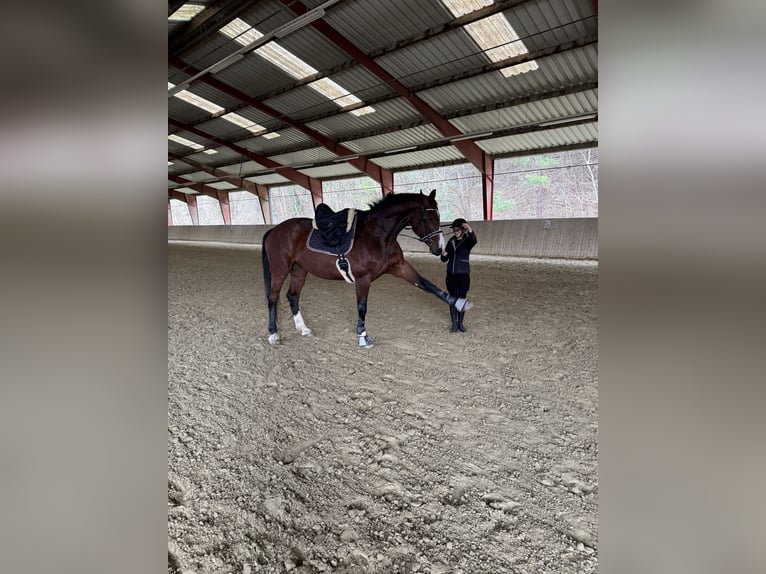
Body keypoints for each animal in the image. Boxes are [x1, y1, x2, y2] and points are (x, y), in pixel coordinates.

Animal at [261, 189, 472, 347]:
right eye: (428, 216)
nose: (439, 248)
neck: (378, 234)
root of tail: (275, 230)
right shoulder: (363, 279)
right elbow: (362, 306)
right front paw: (363, 336)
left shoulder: (400, 267)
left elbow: (428, 285)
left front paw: (459, 303)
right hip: (280, 270)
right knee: (273, 298)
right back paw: (273, 335)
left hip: (299, 270)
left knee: (292, 296)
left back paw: (303, 329)